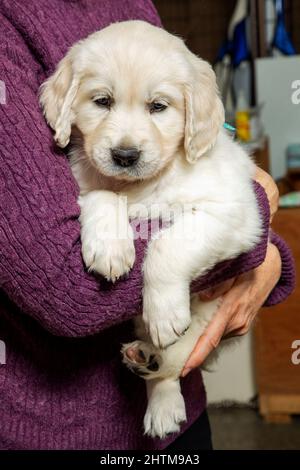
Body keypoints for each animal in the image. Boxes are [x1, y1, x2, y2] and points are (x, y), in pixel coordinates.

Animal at [40, 21, 262, 440]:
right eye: (102, 101)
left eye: (158, 107)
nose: (125, 156)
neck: (141, 185)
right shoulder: (88, 181)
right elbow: (103, 195)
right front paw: (110, 247)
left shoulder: (236, 212)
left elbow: (167, 245)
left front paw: (163, 312)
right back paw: (153, 379)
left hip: (211, 315)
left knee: (178, 358)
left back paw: (155, 367)